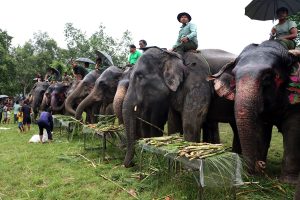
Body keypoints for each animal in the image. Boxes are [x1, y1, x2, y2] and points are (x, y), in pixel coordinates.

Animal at [213, 39, 300, 184]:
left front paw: (289, 182)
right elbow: (261, 130)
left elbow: (293, 129)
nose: (260, 164)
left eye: (268, 77)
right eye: (234, 77)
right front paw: (258, 175)